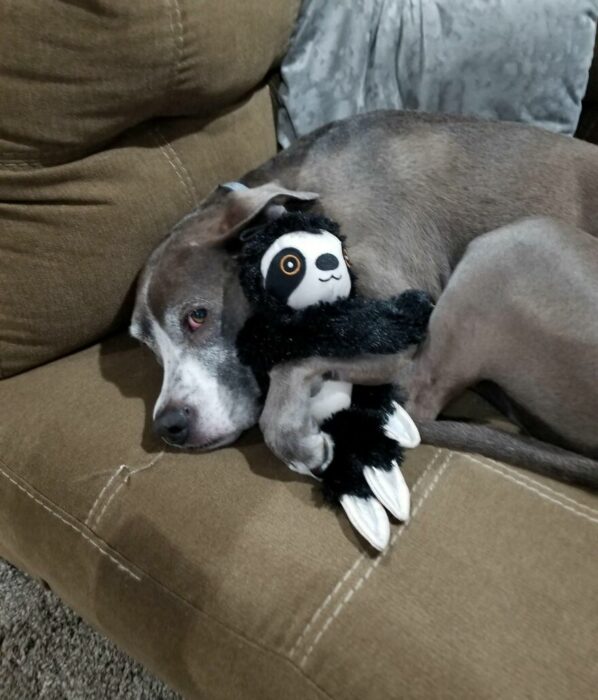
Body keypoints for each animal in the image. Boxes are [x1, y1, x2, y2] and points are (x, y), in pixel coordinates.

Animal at [131, 112, 598, 490]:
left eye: (197, 316)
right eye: (145, 346)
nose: (168, 426)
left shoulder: (397, 320)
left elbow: (295, 359)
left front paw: (297, 440)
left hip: (514, 244)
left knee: (414, 395)